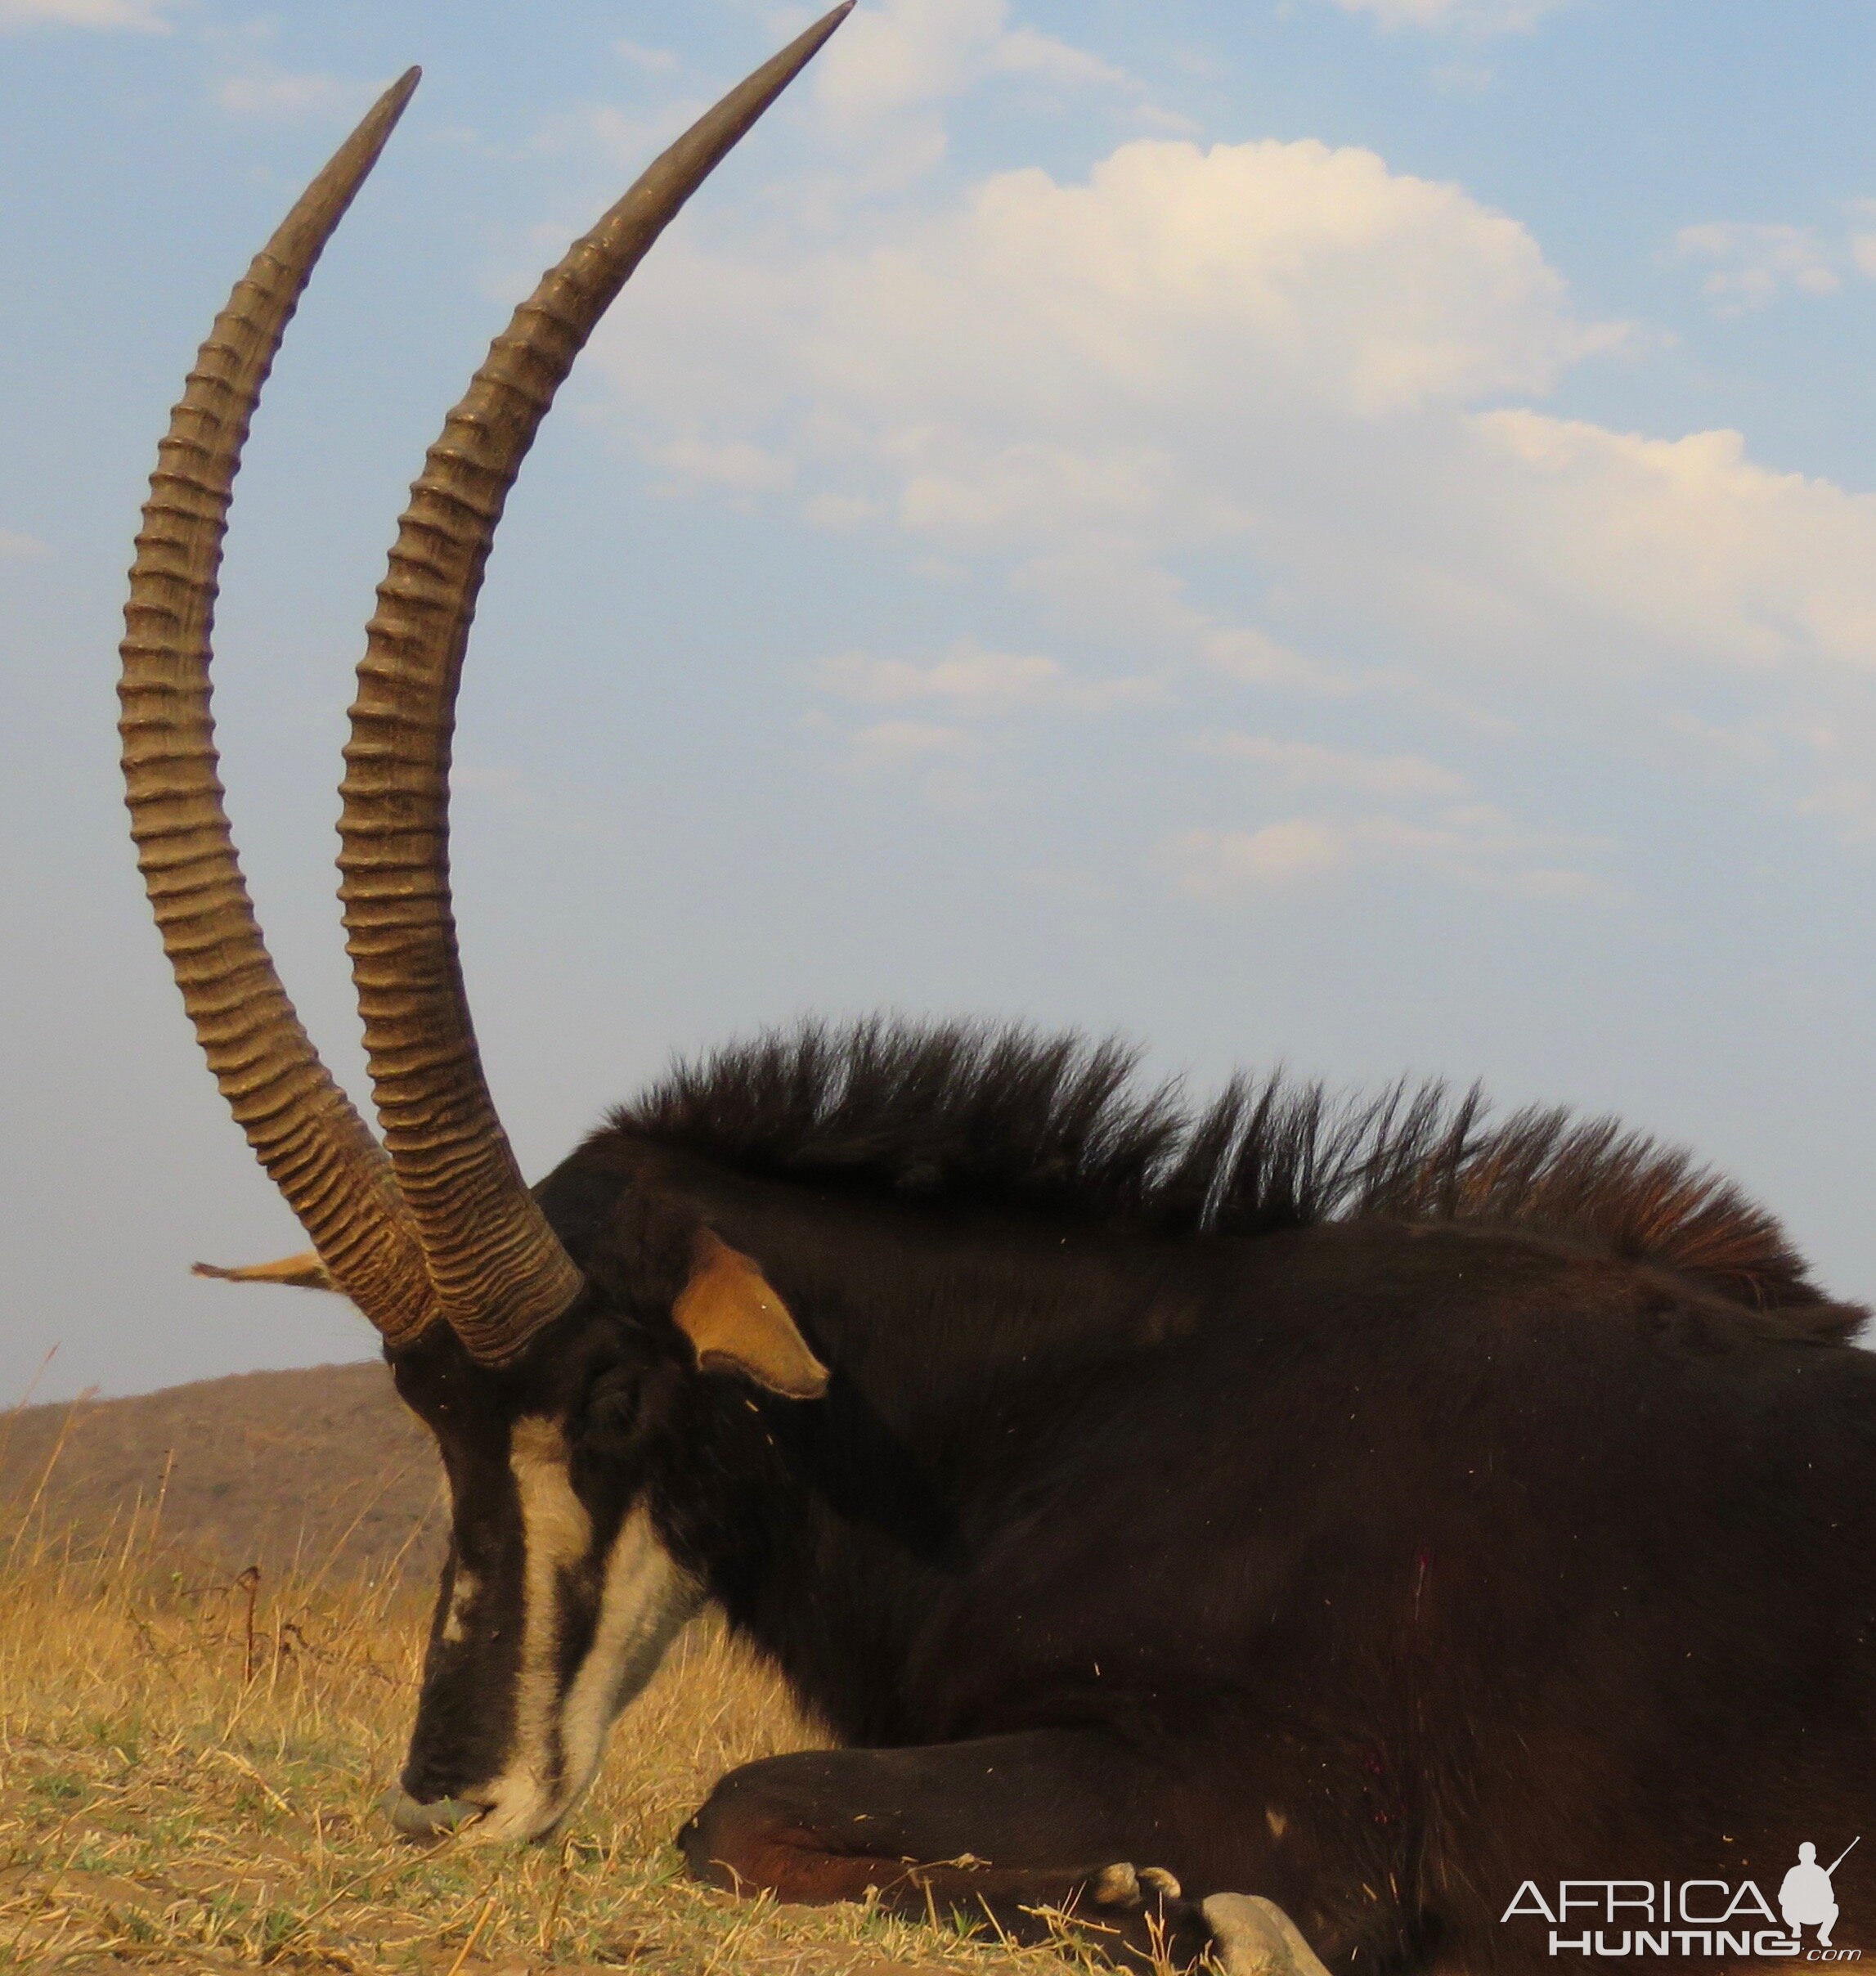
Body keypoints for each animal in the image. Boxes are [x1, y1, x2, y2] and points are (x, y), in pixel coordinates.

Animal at [120, 7, 1876, 1968]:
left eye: (622, 1398)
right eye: (420, 1405)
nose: (446, 1802)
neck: (1079, 1400)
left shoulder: (1293, 1793)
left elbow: (737, 1808)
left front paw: (1189, 1910)